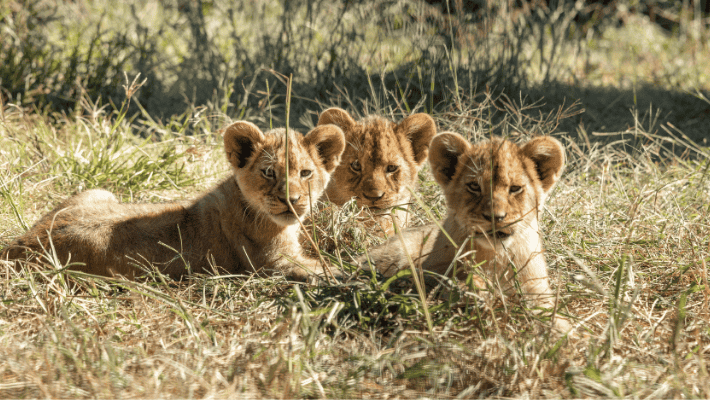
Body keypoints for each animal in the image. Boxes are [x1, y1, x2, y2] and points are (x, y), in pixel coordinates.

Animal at [2, 121, 346, 281]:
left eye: (305, 173)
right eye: (268, 172)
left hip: (98, 191)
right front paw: (351, 274)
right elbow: (330, 270)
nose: (292, 201)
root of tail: (19, 243)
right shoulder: (272, 263)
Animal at [357, 133, 572, 332]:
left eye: (515, 188)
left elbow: (547, 312)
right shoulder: (426, 273)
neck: (495, 256)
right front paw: (477, 289)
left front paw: (564, 332)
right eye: (474, 186)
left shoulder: (536, 289)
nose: (496, 217)